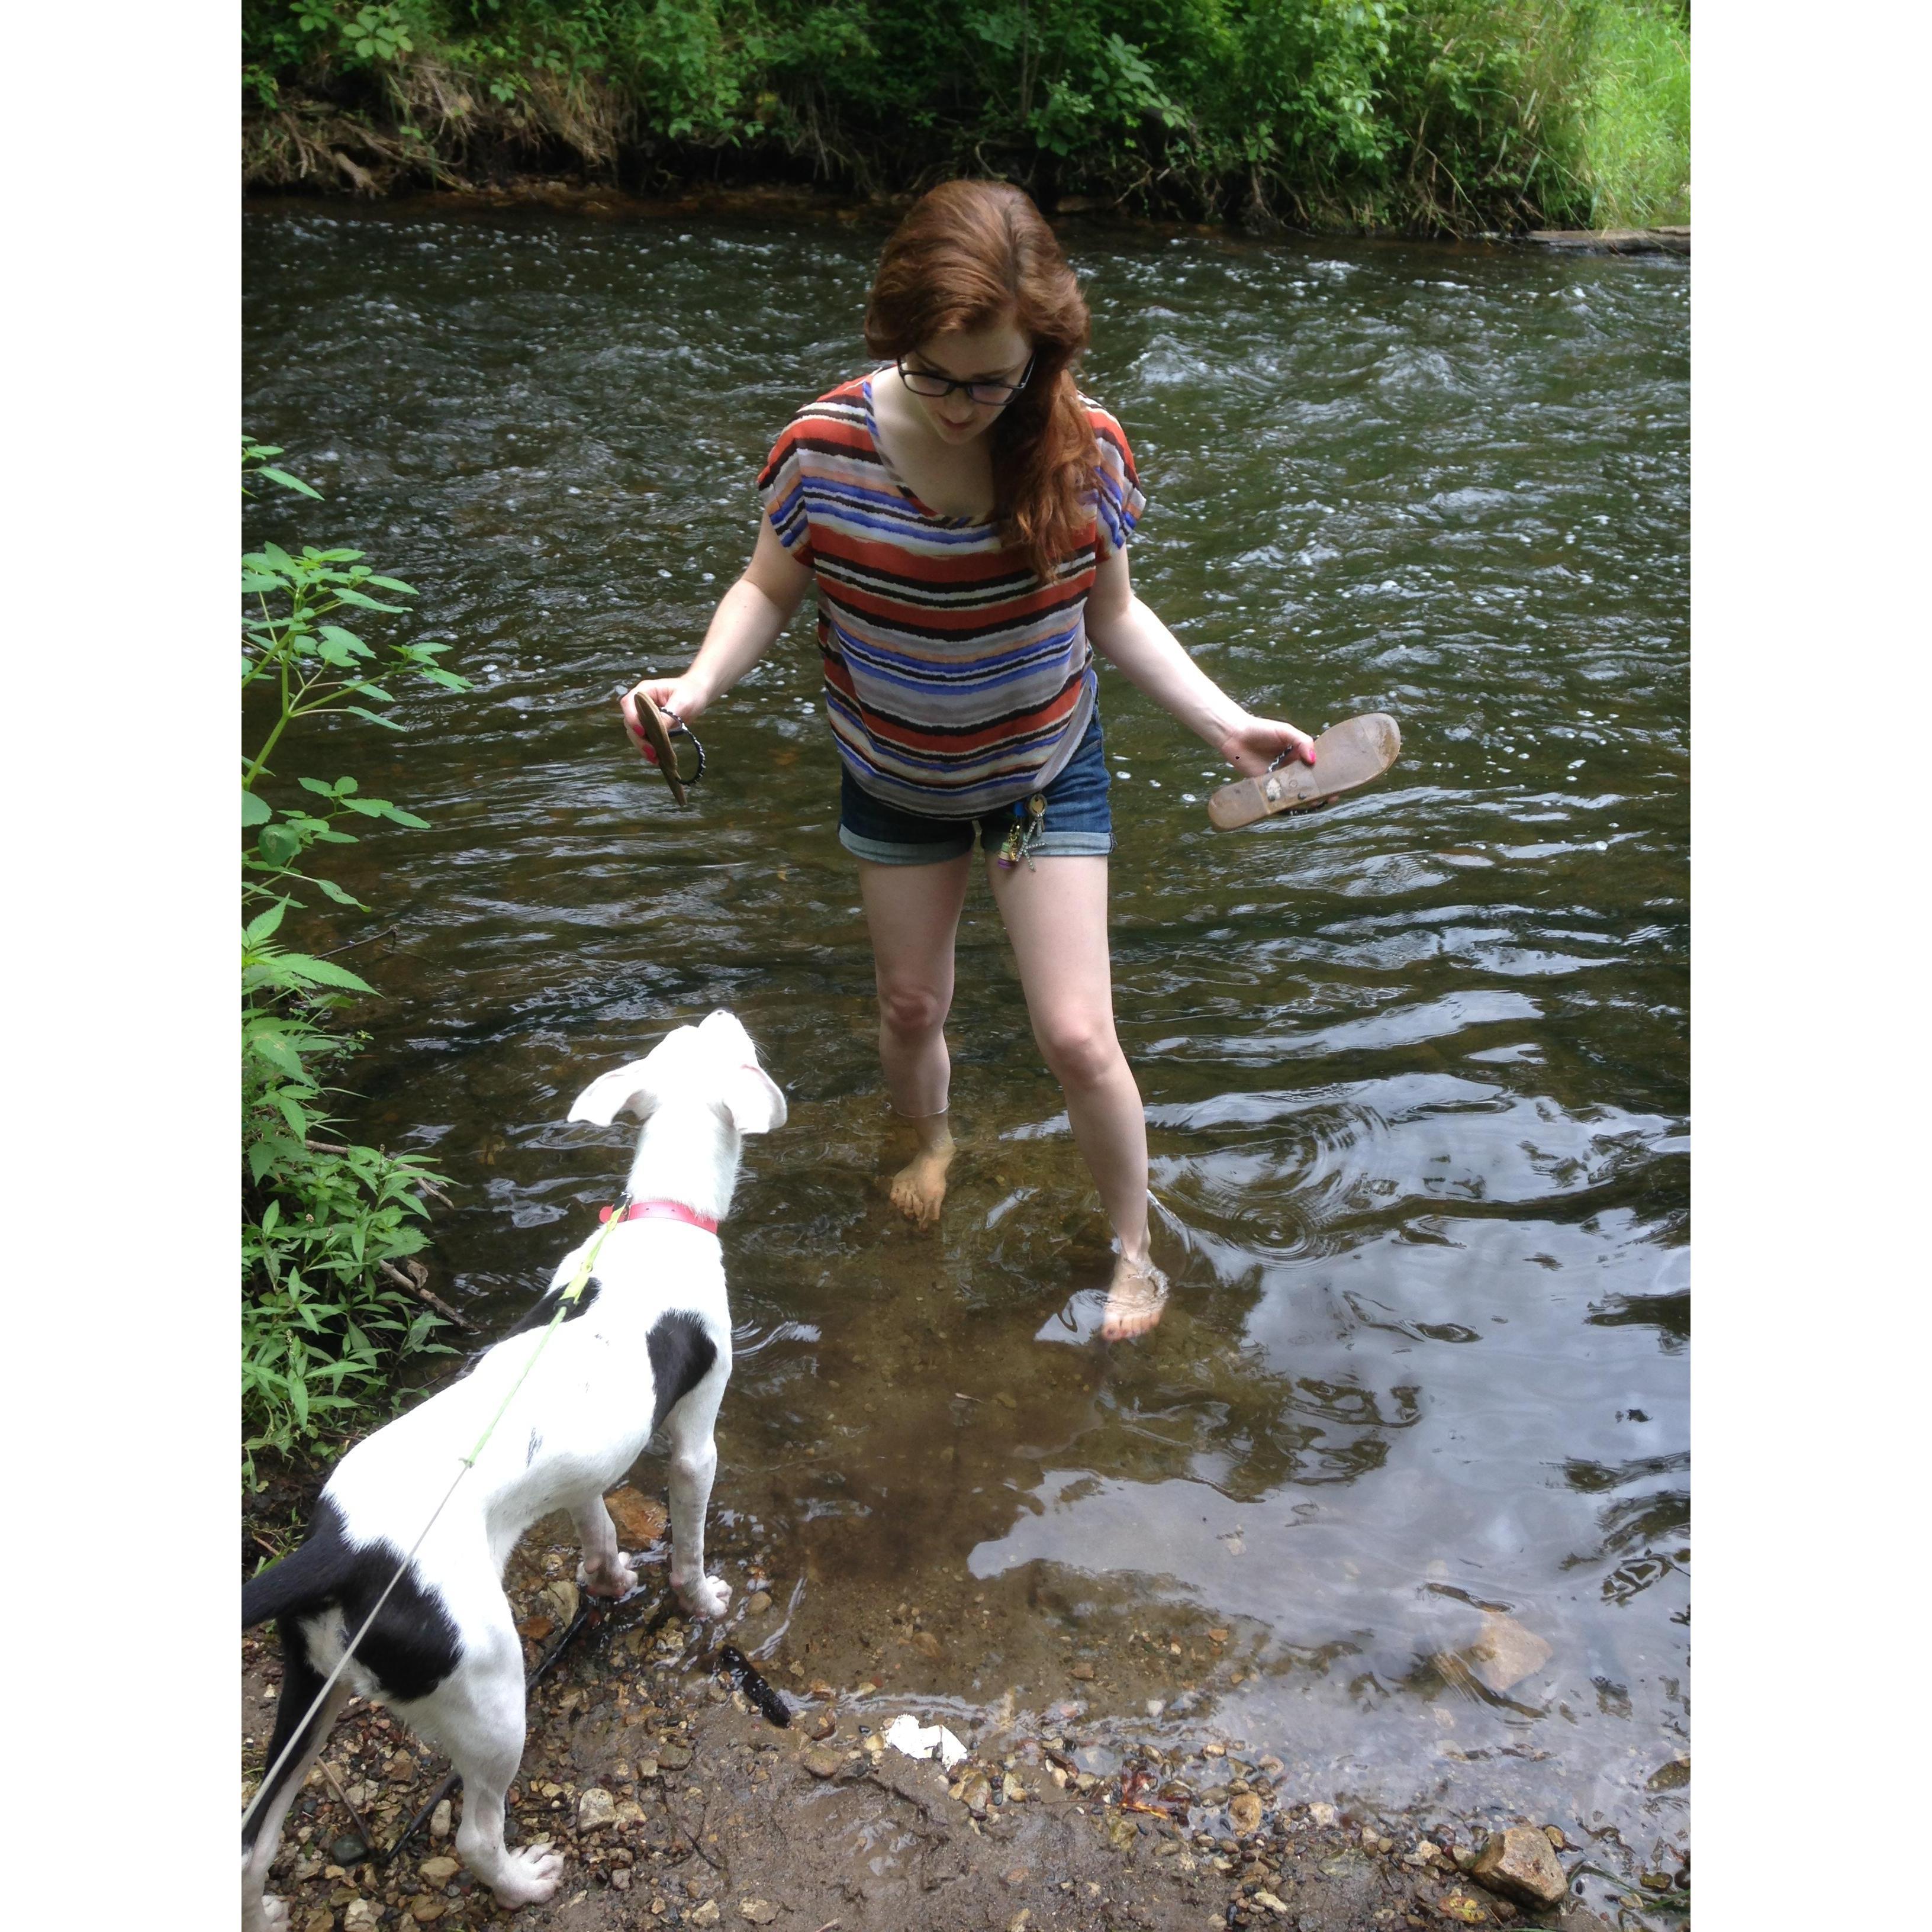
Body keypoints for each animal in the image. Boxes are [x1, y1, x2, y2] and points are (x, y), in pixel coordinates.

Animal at [242, 1012, 784, 1932]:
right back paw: (522, 1881)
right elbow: (690, 1540)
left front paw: (610, 1581)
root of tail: (343, 1549)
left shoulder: (584, 1476)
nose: (718, 1012)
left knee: (252, 1841)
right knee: (472, 1834)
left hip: (311, 1687)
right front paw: (703, 1600)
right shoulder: (695, 1440)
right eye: (721, 1042)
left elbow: (597, 1525)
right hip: (491, 1698)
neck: (660, 1212)